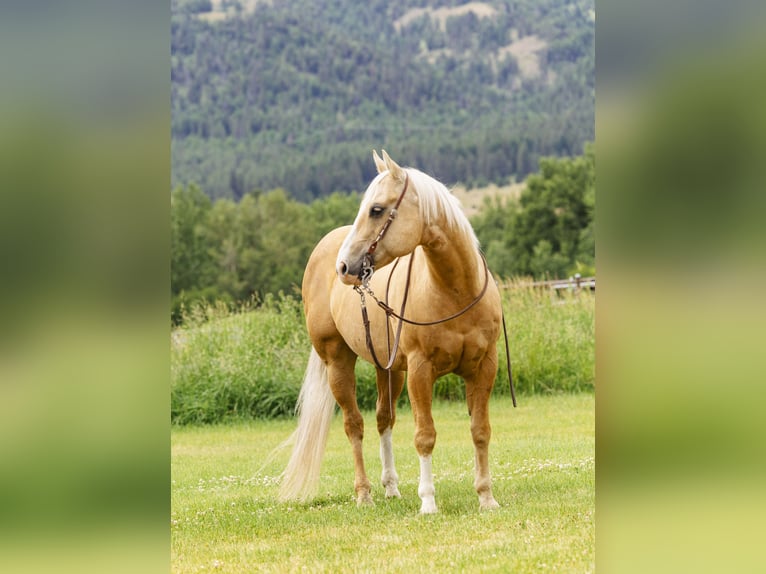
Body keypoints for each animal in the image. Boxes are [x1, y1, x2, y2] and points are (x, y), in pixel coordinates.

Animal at [280, 151, 508, 516]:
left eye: (376, 209)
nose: (344, 267)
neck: (453, 291)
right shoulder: (420, 370)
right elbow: (425, 435)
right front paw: (428, 501)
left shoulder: (484, 367)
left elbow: (480, 431)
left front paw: (486, 497)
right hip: (337, 362)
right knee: (354, 425)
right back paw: (365, 493)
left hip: (387, 368)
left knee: (382, 419)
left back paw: (391, 487)